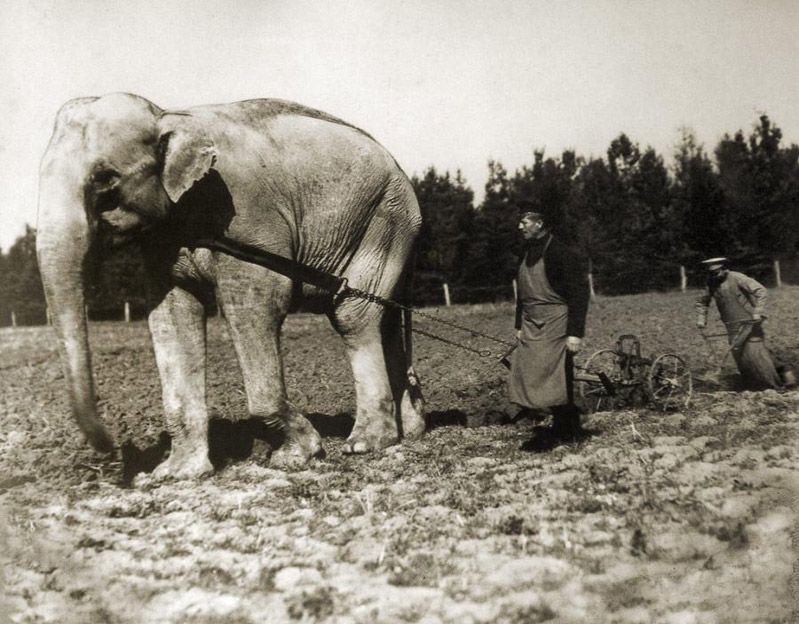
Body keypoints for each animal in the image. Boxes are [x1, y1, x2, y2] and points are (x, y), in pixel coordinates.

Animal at [39, 92, 424, 480]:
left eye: (105, 180)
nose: (112, 450)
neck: (167, 114)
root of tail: (398, 165)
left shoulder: (248, 218)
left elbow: (258, 303)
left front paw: (298, 455)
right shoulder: (163, 243)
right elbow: (171, 316)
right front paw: (176, 473)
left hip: (385, 218)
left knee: (353, 316)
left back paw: (366, 443)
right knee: (385, 320)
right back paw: (412, 428)